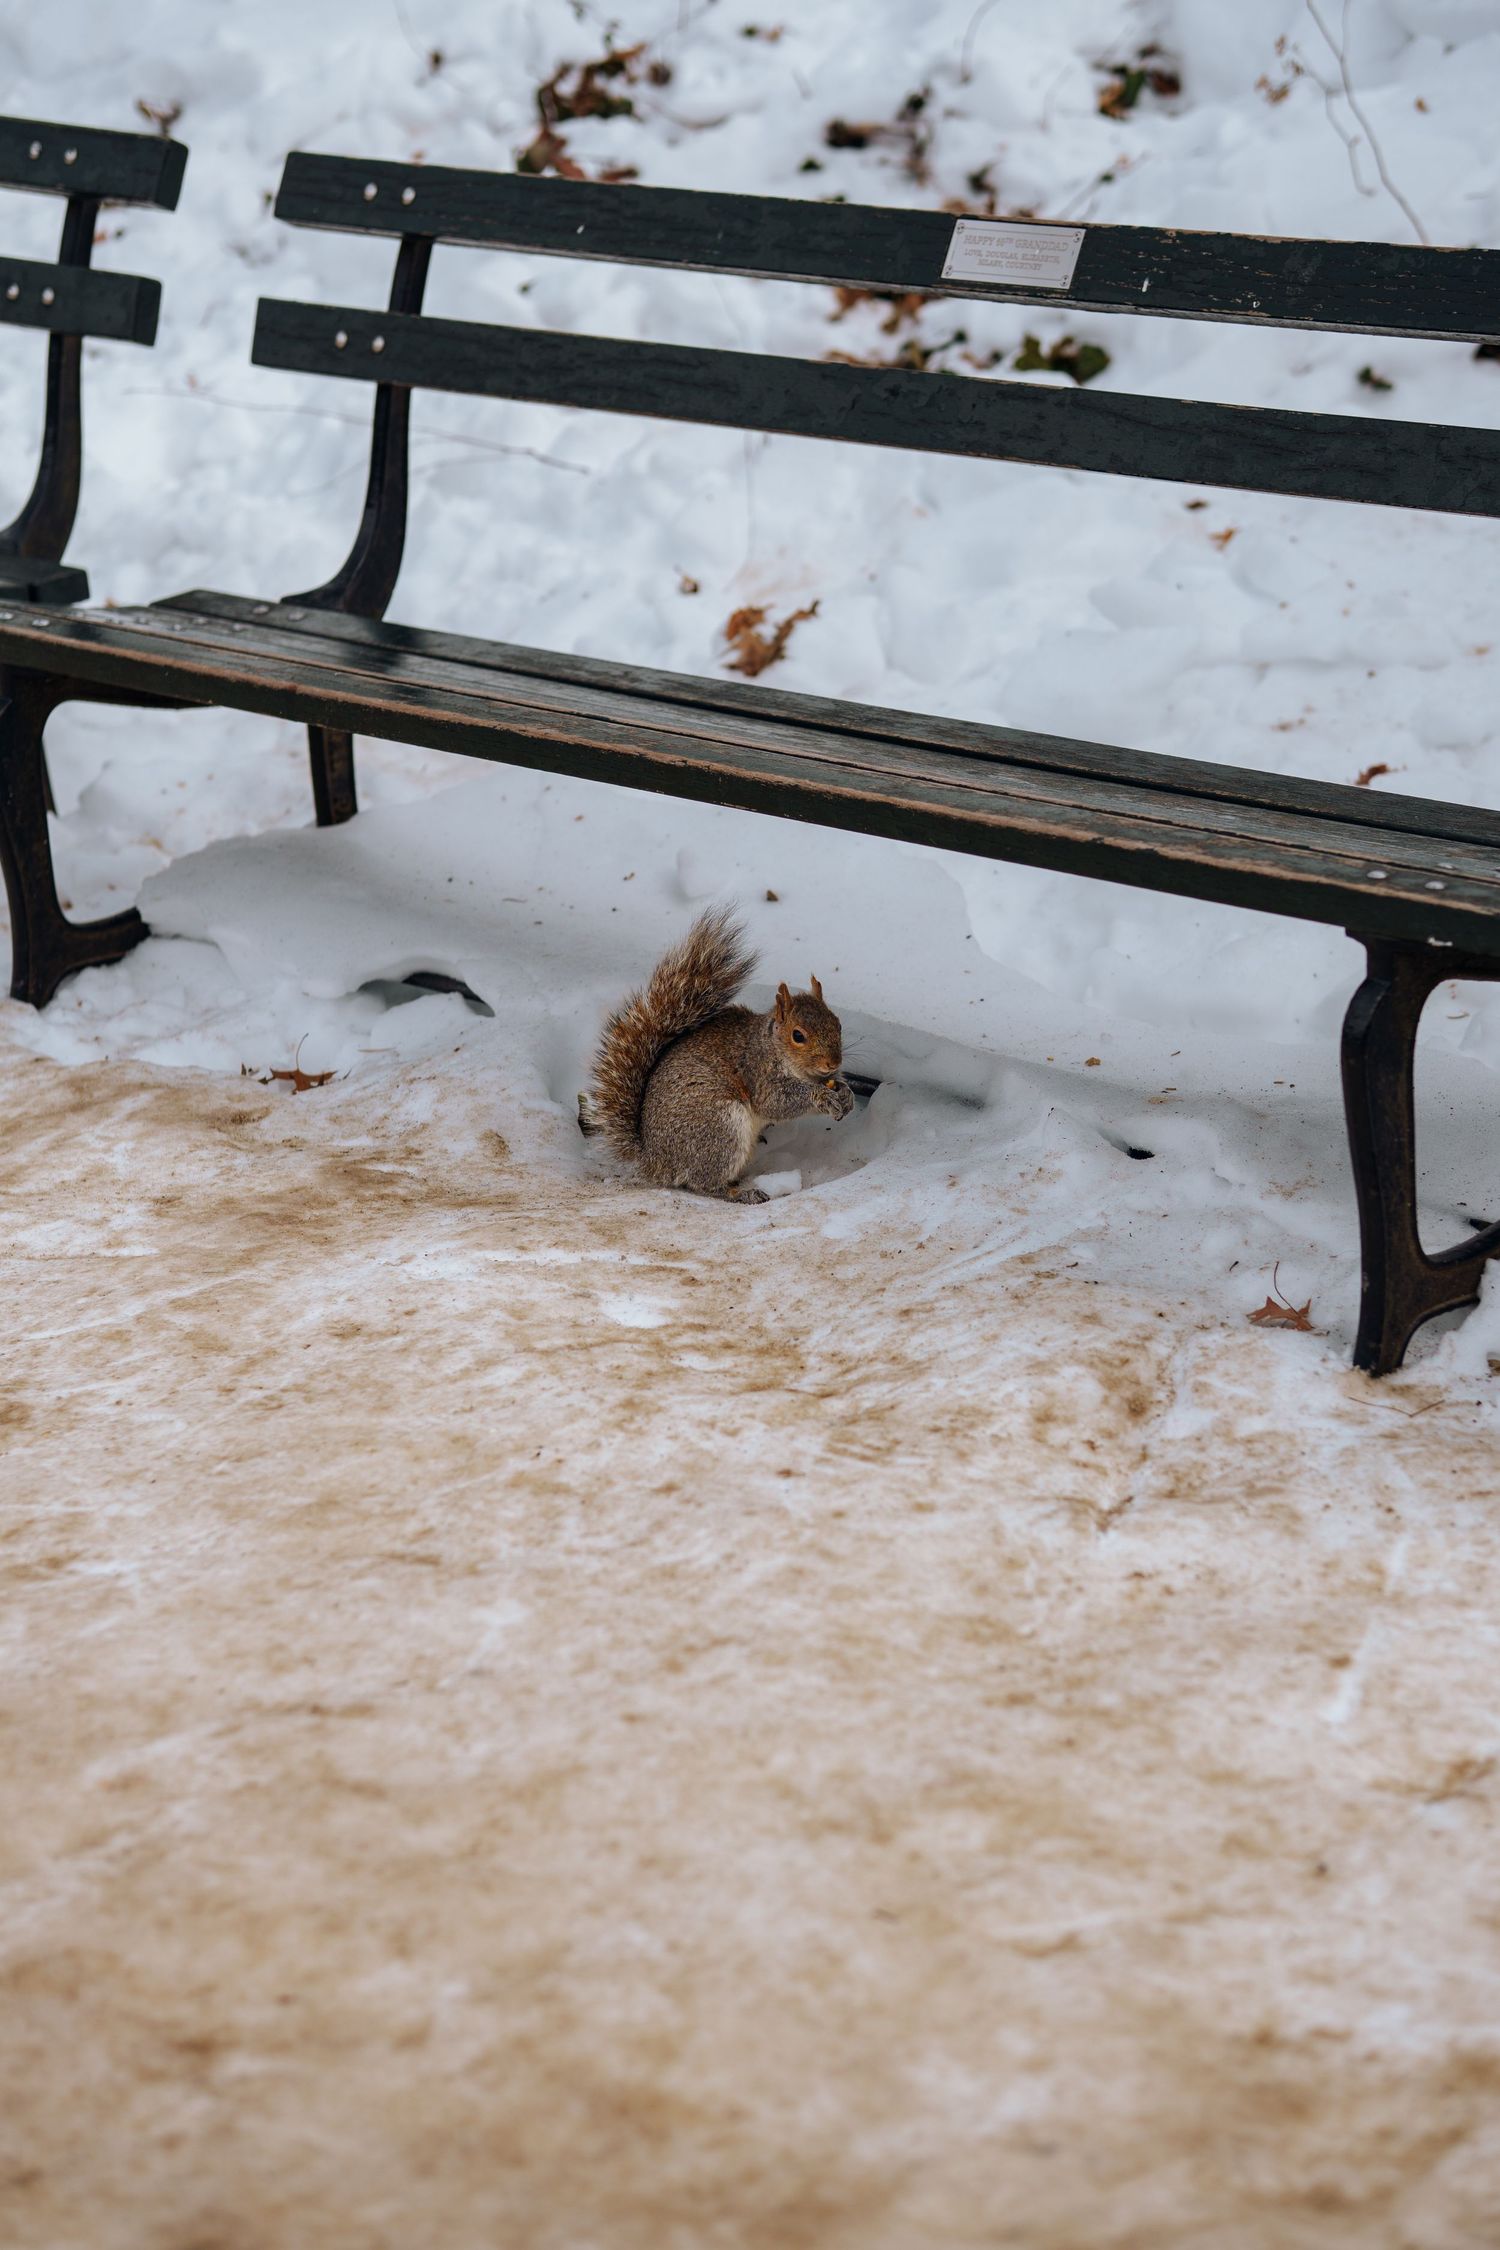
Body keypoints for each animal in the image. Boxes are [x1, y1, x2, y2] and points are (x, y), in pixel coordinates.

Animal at [587, 907, 854, 1204]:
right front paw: (821, 1097)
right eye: (798, 1035)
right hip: (721, 1127)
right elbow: (776, 1102)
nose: (833, 1062)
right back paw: (741, 1193)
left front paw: (846, 1093)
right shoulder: (758, 1072)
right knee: (703, 1182)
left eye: (838, 1024)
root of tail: (655, 1159)